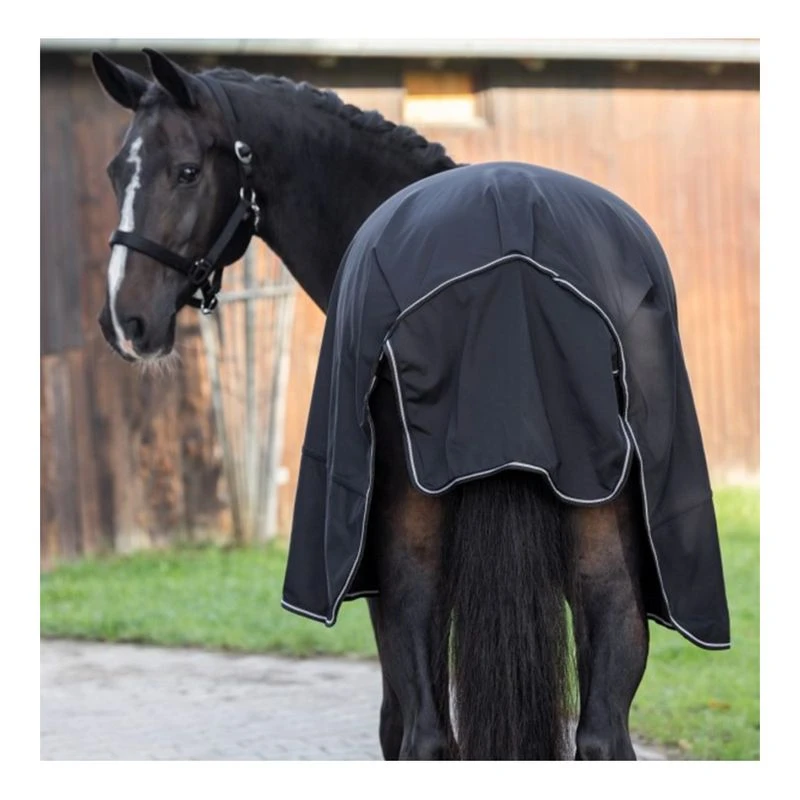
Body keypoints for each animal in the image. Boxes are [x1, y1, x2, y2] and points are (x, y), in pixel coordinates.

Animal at [90, 49, 729, 760]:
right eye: (117, 172)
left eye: (187, 171)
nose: (125, 321)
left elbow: (396, 725)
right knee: (596, 737)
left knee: (425, 734)